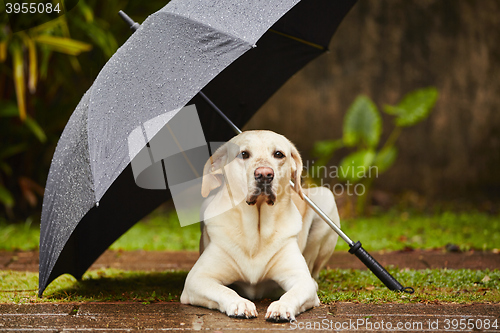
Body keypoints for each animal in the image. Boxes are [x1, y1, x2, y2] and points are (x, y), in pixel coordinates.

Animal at [182, 130, 342, 322]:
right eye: (243, 154)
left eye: (279, 154)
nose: (264, 174)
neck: (256, 232)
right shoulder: (197, 278)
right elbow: (224, 290)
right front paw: (240, 303)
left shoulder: (301, 279)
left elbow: (293, 292)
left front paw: (281, 306)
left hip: (327, 199)